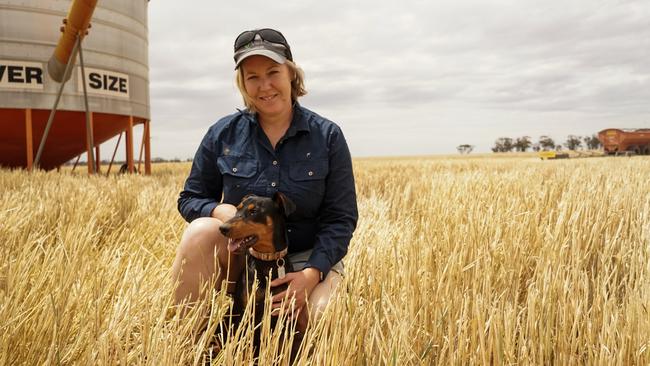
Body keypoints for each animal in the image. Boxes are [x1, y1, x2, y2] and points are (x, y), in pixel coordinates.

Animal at [216, 193, 300, 358]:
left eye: (254, 212)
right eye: (237, 209)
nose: (223, 228)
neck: (266, 260)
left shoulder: (281, 314)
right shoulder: (246, 311)